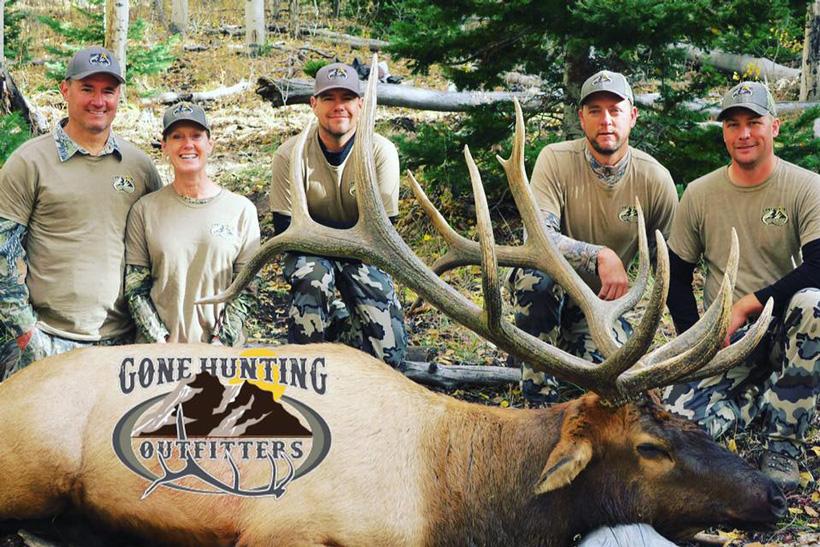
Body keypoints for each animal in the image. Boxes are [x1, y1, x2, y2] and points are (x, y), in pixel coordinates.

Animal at [0, 55, 786, 547]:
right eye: (652, 447)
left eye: (690, 423)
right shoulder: (276, 523)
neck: (457, 497)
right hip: (31, 464)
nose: (772, 494)